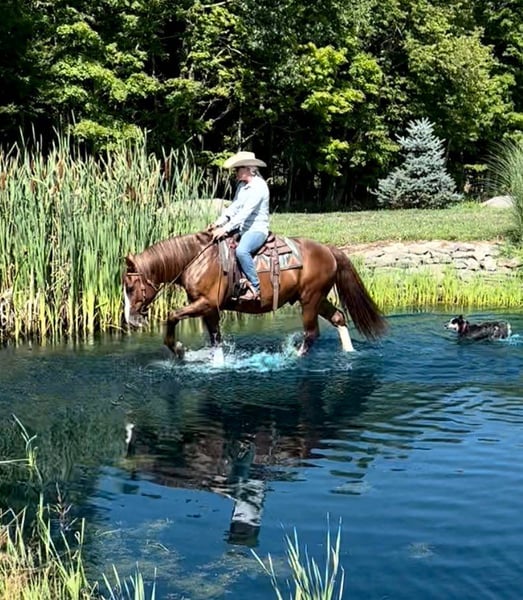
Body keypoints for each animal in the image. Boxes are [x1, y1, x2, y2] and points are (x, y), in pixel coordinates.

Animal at [122, 230, 387, 356]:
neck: (196, 260)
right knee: (339, 318)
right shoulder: (209, 309)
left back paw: (293, 358)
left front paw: (178, 350)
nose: (129, 319)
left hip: (310, 299)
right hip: (317, 298)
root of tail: (329, 250)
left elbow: (172, 315)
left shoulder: (205, 303)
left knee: (312, 333)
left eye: (130, 287)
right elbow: (216, 339)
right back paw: (349, 353)